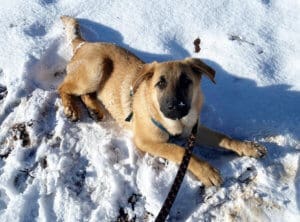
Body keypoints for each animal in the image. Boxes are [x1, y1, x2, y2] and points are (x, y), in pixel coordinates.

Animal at [58, 16, 264, 187]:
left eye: (186, 81)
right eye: (160, 83)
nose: (175, 106)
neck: (176, 123)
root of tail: (84, 44)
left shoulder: (193, 128)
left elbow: (223, 137)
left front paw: (247, 146)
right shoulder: (146, 141)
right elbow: (179, 151)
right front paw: (207, 171)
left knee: (87, 94)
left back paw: (95, 109)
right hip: (97, 68)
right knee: (63, 88)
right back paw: (71, 107)